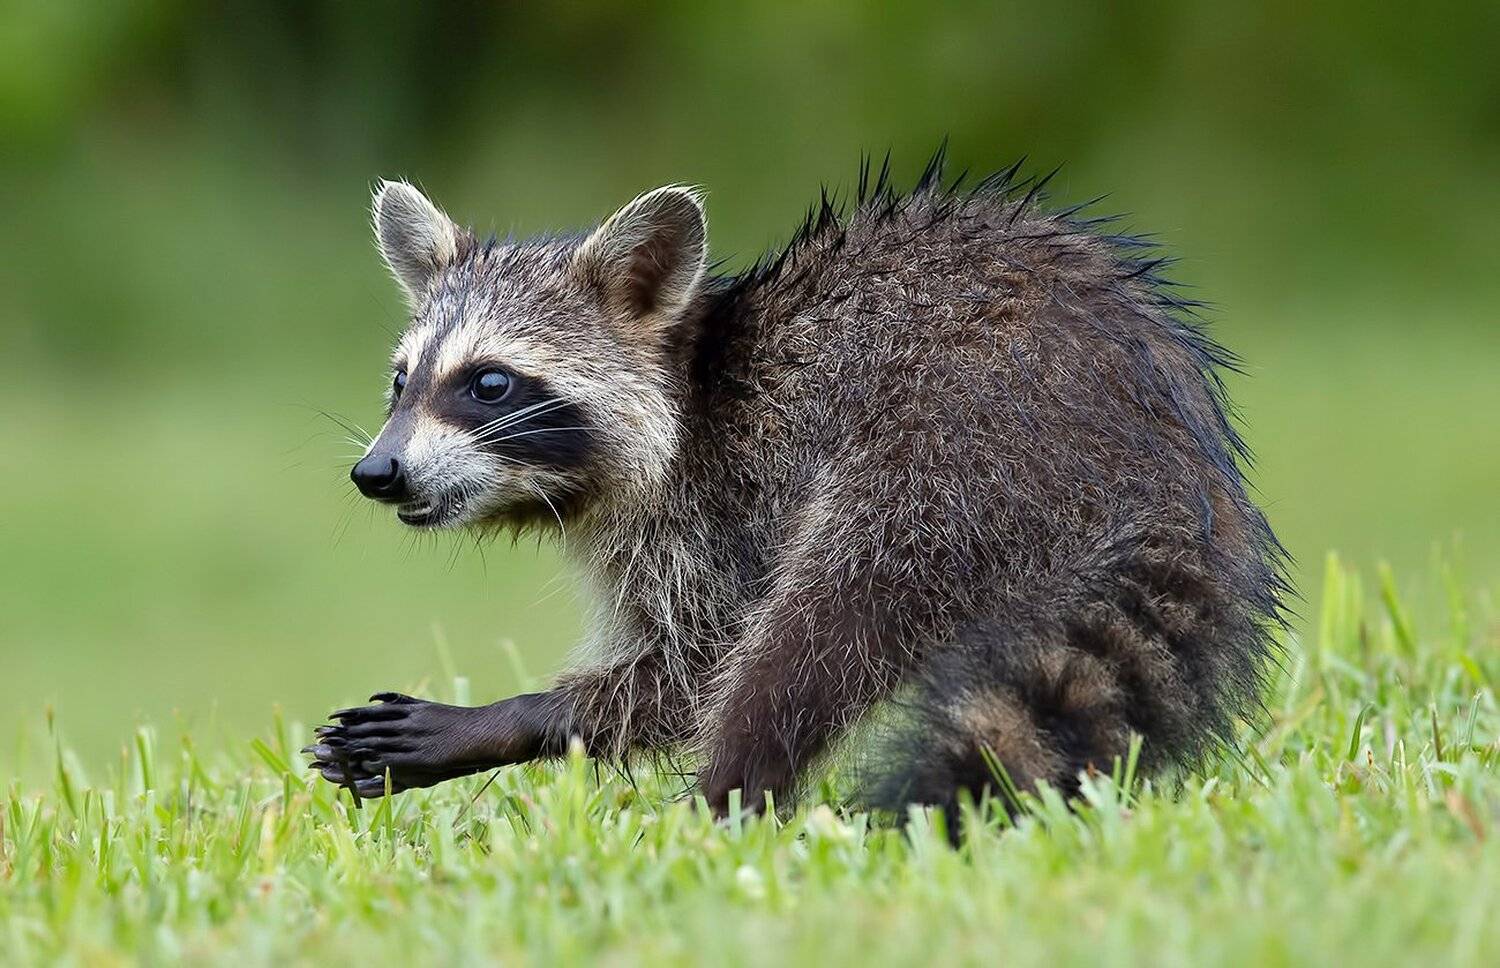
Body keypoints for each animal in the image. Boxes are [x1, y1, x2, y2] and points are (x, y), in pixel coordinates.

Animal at [305, 152, 1287, 830]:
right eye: (400, 382)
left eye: (489, 384)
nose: (376, 473)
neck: (693, 389)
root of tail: (1171, 456)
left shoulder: (728, 497)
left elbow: (697, 669)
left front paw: (507, 720)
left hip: (954, 454)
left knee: (817, 631)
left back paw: (722, 806)